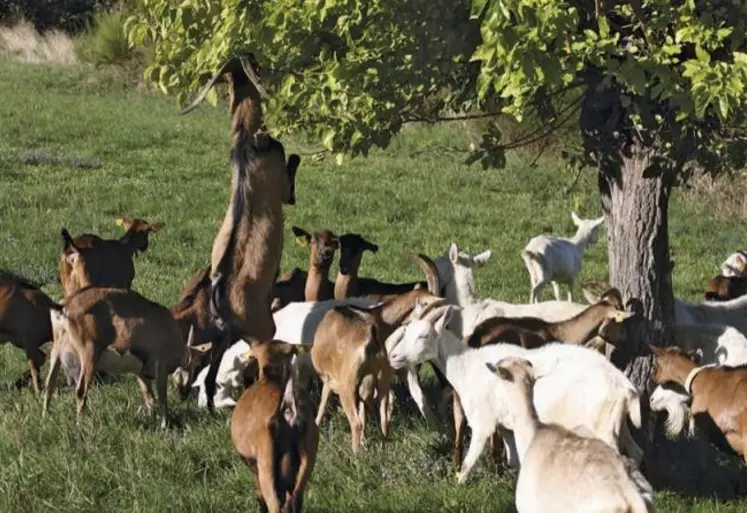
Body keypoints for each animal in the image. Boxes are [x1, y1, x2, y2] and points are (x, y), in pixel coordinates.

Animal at [43, 286, 207, 426]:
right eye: (194, 366)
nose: (184, 394)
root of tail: (65, 306)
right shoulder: (161, 368)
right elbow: (162, 399)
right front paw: (164, 425)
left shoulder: (141, 373)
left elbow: (149, 398)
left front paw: (151, 420)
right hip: (89, 354)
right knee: (81, 390)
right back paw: (79, 424)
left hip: (56, 350)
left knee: (49, 384)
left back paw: (46, 417)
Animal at [179, 54, 300, 410]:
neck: (247, 139)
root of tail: (220, 301)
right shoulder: (281, 181)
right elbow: (291, 170)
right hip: (262, 330)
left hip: (222, 337)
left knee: (208, 377)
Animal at [231, 340, 318, 512]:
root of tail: (288, 407)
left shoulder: (254, 466)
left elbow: (260, 497)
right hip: (307, 458)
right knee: (294, 499)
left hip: (267, 463)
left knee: (275, 504)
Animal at [398, 322, 644, 482]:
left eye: (423, 336)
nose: (395, 357)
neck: (466, 366)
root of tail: (624, 385)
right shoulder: (506, 426)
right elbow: (515, 460)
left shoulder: (483, 423)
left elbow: (467, 465)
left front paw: (457, 485)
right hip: (617, 424)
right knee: (637, 452)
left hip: (603, 427)